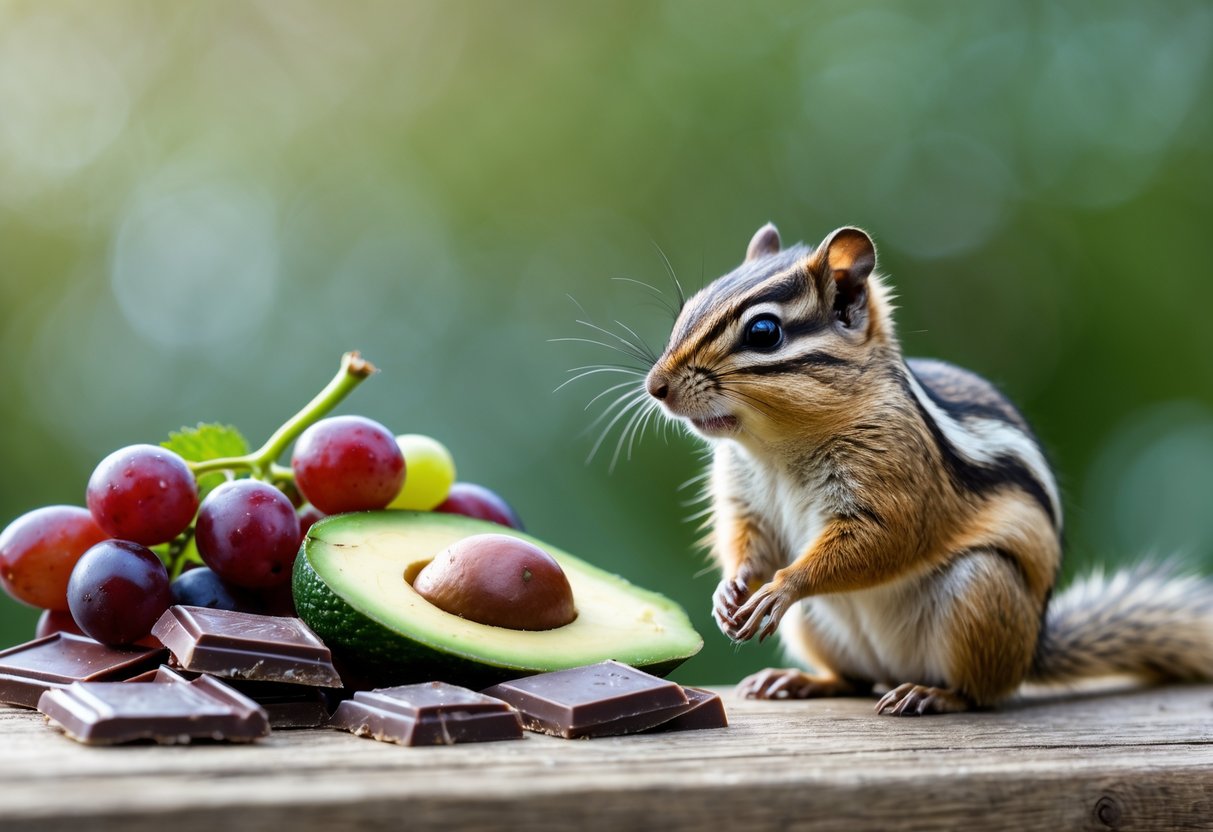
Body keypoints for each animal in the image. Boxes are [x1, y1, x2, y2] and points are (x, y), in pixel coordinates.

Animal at [643, 222, 1213, 715]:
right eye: (689, 307)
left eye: (764, 332)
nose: (656, 387)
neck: (776, 447)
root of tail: (1031, 652)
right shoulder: (744, 496)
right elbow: (747, 540)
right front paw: (730, 591)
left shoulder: (897, 480)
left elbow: (884, 540)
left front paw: (782, 587)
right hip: (818, 630)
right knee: (854, 680)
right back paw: (800, 681)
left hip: (980, 591)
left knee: (983, 693)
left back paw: (932, 695)